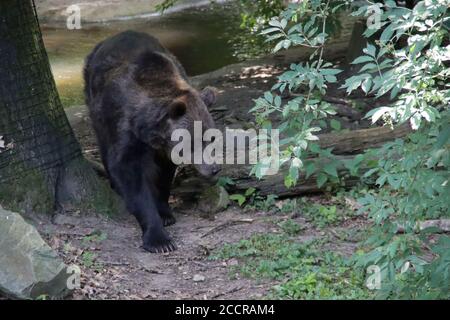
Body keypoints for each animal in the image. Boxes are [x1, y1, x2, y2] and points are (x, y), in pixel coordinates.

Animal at [84, 31, 220, 254]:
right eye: (194, 142)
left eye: (211, 138)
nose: (215, 168)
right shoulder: (125, 129)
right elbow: (130, 175)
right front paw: (159, 240)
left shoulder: (165, 149)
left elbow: (164, 175)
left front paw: (165, 213)